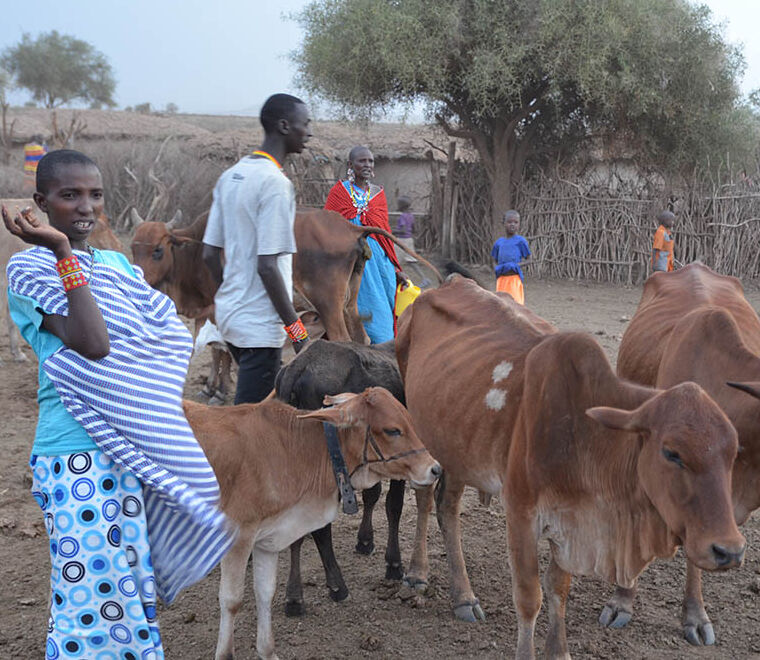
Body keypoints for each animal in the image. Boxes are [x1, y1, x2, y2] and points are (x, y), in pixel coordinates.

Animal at [183, 387, 441, 660]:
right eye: (392, 430)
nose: (435, 469)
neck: (291, 451)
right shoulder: (239, 536)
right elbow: (232, 600)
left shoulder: (268, 538)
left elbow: (265, 593)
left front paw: (267, 651)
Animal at [274, 338, 406, 614]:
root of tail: (299, 366)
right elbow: (393, 506)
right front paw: (394, 564)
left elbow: (373, 495)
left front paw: (365, 541)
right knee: (320, 529)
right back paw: (337, 586)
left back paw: (294, 597)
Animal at [395, 275, 744, 658]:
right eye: (672, 453)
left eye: (733, 453)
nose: (729, 550)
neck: (583, 433)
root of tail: (449, 282)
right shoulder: (520, 513)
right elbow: (529, 597)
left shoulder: (569, 520)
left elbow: (558, 588)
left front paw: (558, 649)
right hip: (422, 433)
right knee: (428, 500)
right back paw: (424, 577)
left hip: (458, 444)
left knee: (447, 506)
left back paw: (461, 594)